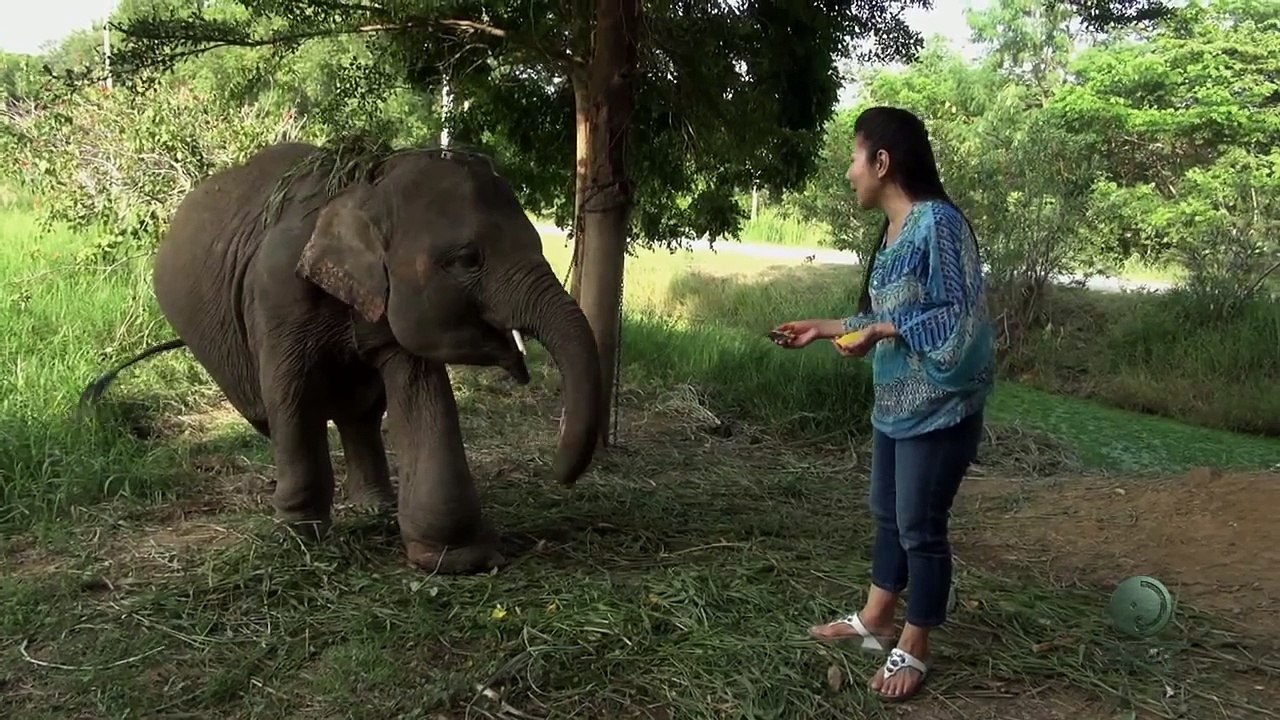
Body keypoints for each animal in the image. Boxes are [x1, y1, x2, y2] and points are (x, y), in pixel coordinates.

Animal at [80, 141, 604, 574]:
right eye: (466, 260)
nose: (559, 475)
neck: (363, 186)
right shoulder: (278, 294)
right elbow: (289, 395)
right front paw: (299, 538)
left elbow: (420, 394)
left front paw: (458, 561)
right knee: (277, 411)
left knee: (362, 412)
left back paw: (376, 507)